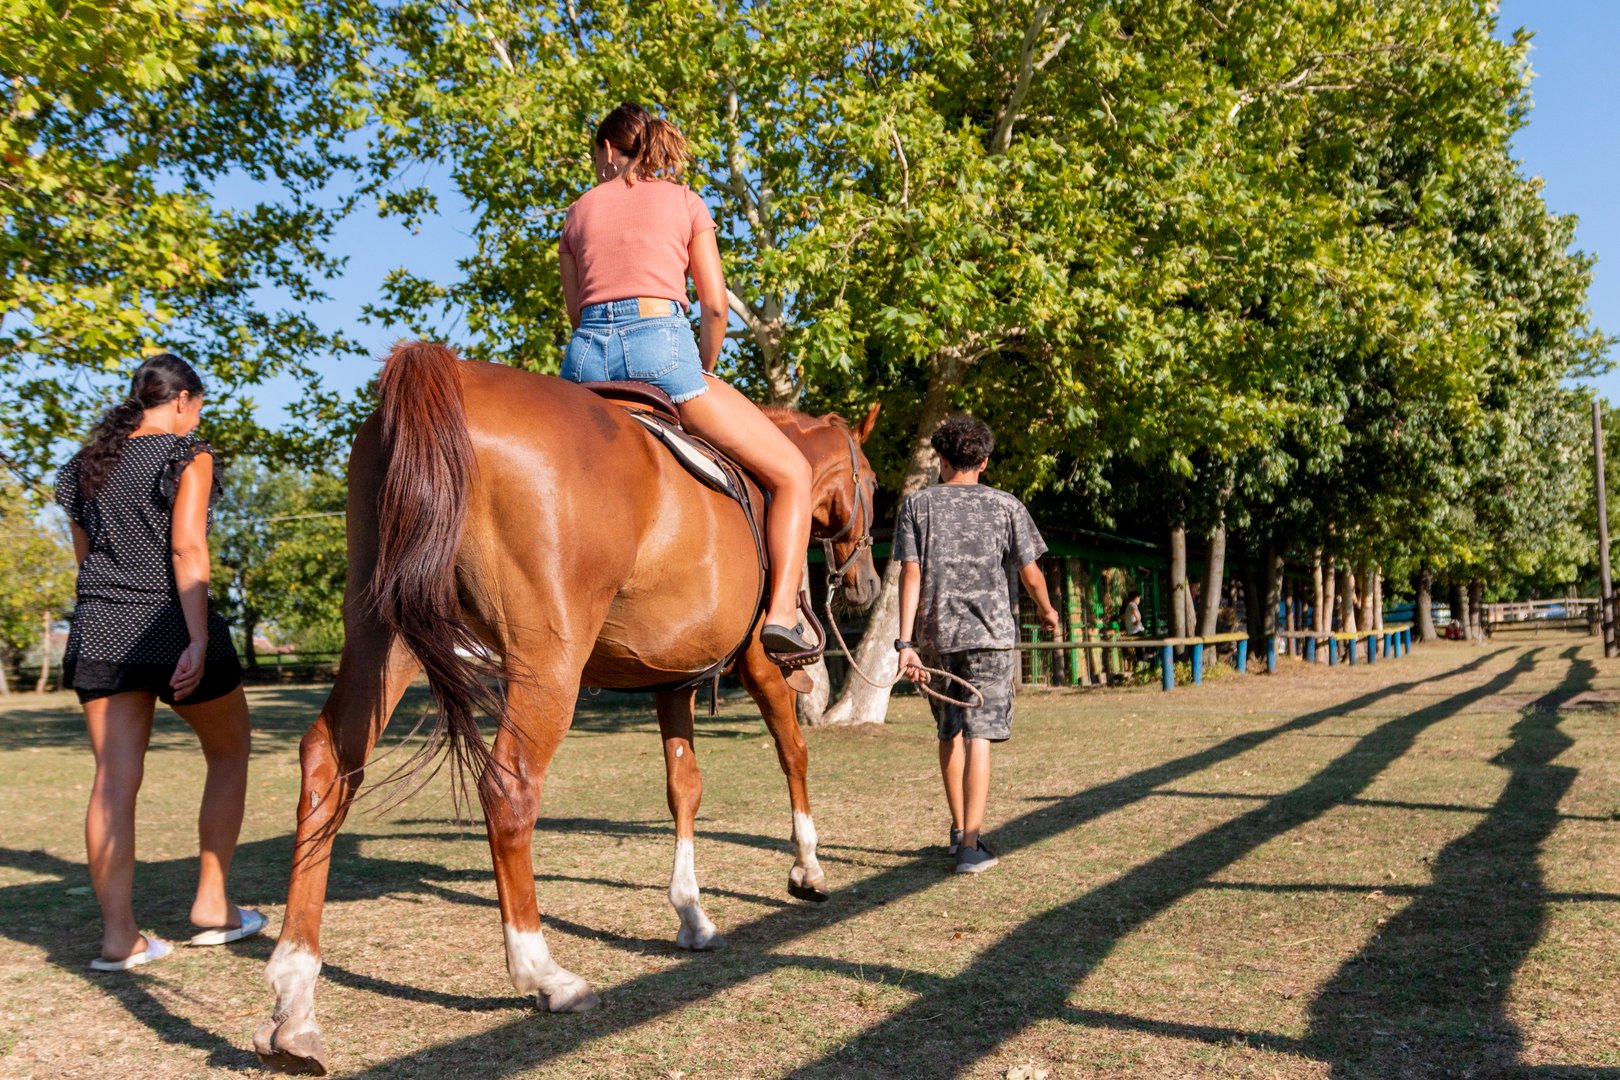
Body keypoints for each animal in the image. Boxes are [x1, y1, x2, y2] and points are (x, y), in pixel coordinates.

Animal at [253, 342, 881, 1074]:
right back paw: (543, 974)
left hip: (382, 637)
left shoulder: (672, 679)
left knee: (328, 767)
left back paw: (294, 1001)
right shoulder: (757, 660)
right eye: (871, 481)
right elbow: (792, 751)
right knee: (508, 788)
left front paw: (692, 915)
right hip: (548, 661)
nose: (865, 585)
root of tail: (450, 376)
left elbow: (684, 786)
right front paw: (807, 868)